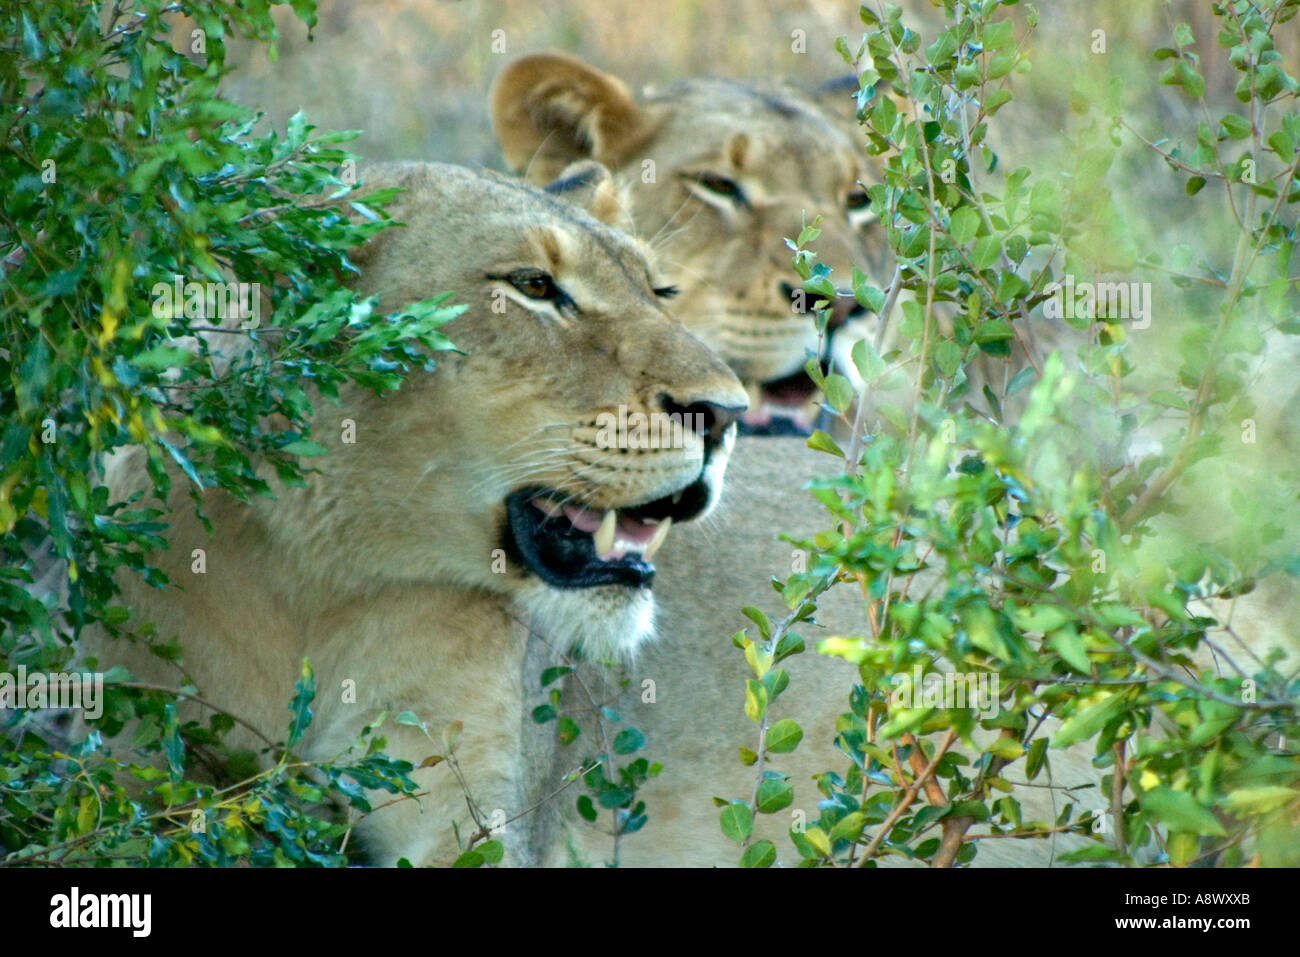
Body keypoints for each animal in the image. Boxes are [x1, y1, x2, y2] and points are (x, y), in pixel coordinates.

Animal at [86, 160, 749, 867]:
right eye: (534, 287)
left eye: (661, 291)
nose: (726, 414)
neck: (320, 579)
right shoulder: (135, 765)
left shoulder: (478, 803)